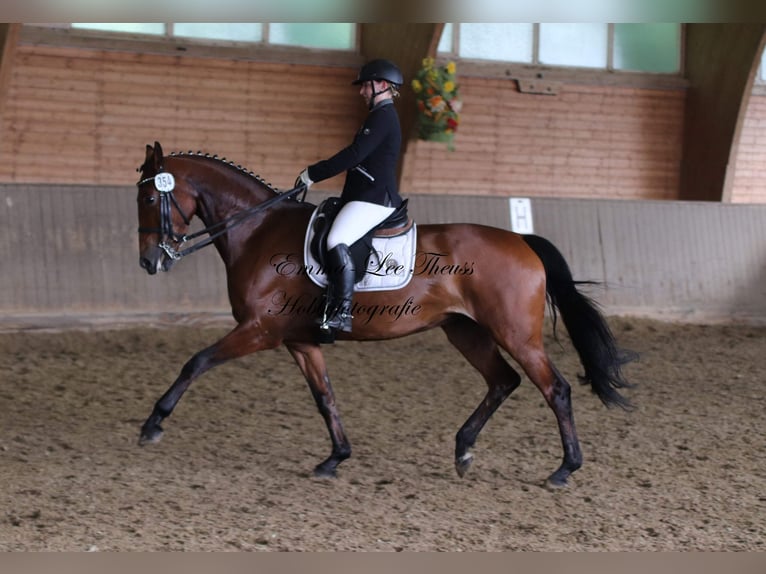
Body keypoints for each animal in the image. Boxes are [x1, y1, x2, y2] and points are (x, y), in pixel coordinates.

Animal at [134, 142, 636, 488]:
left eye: (149, 200)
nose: (149, 262)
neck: (258, 229)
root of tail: (522, 241)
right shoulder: (301, 340)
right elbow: (325, 397)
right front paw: (335, 457)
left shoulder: (259, 330)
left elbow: (195, 362)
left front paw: (152, 423)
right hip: (466, 331)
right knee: (502, 381)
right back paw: (463, 450)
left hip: (515, 334)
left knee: (556, 389)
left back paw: (564, 469)